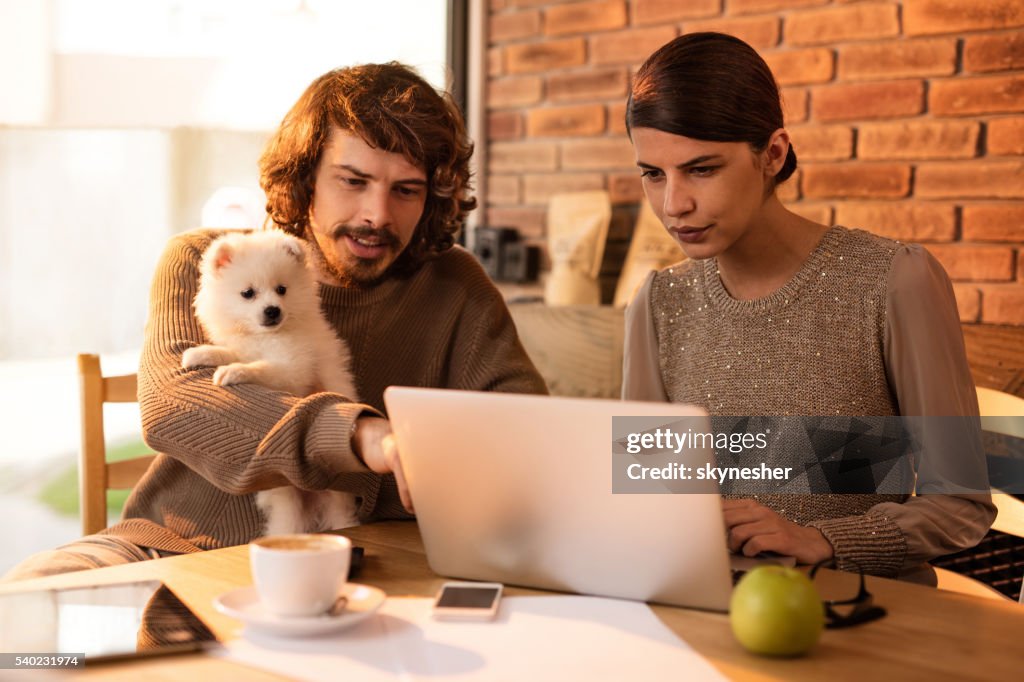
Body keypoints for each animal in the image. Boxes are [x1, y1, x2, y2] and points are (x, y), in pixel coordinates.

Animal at [182, 229, 362, 536]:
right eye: (247, 293)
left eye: (281, 289)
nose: (272, 311)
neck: (265, 336)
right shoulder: (244, 346)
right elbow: (229, 351)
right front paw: (200, 354)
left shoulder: (293, 367)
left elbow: (261, 367)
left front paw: (234, 372)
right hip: (286, 499)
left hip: (335, 501)